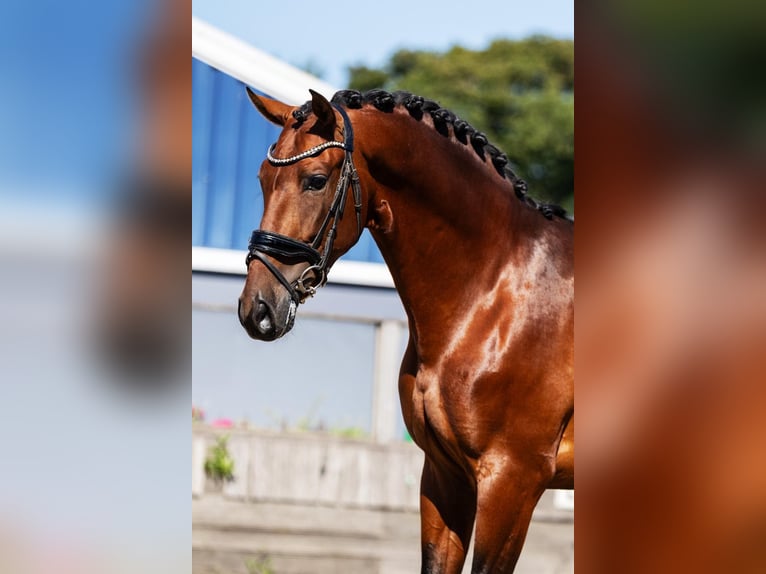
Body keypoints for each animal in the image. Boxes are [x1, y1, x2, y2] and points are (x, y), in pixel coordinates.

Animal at [238, 87, 574, 573]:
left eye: (315, 180)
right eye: (264, 179)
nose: (257, 309)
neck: (493, 294)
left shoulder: (512, 481)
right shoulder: (444, 475)